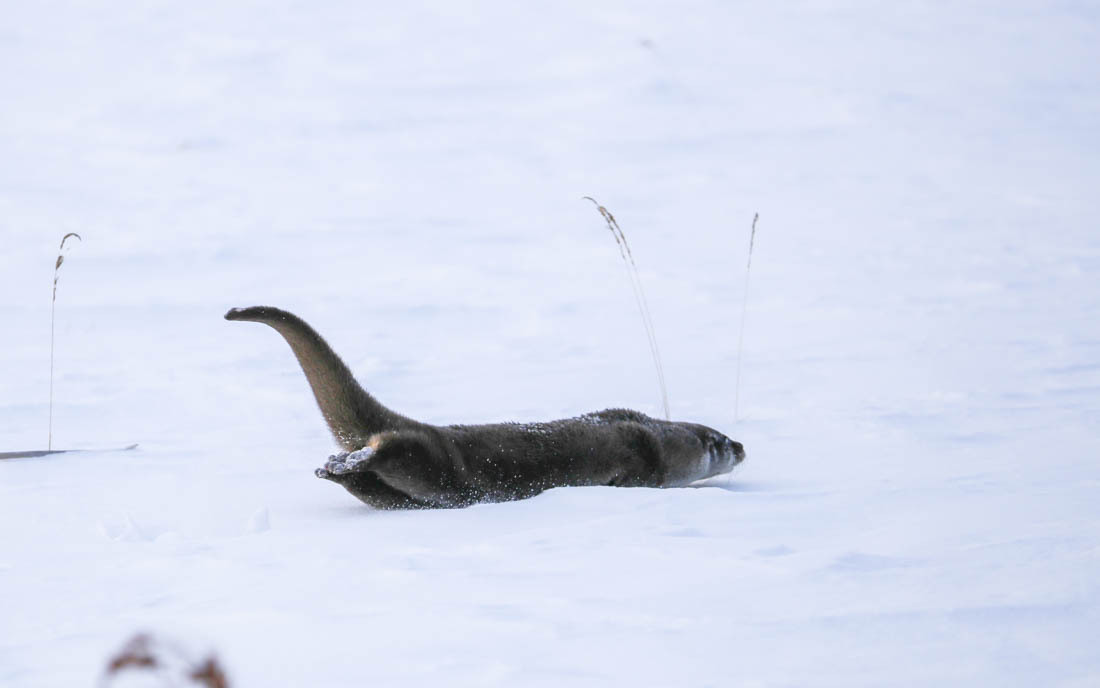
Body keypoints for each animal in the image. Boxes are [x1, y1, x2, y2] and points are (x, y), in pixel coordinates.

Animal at [224, 308, 743, 506]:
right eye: (717, 441)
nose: (740, 445)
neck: (653, 436)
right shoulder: (638, 459)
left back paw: (335, 466)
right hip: (436, 467)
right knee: (397, 449)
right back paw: (349, 461)